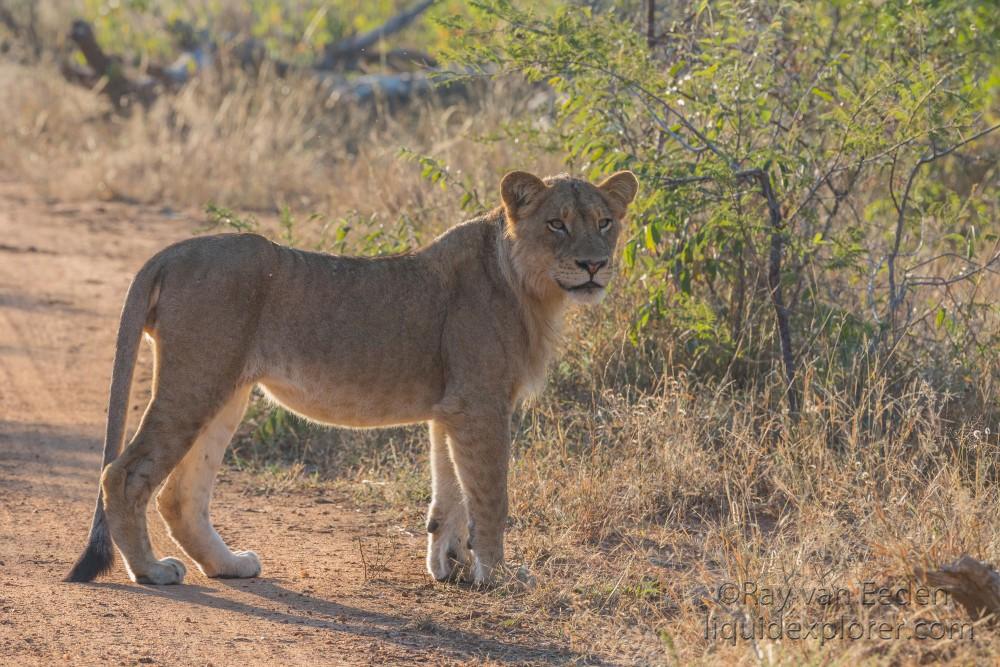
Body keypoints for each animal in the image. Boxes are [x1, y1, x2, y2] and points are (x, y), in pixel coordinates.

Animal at [64, 170, 640, 588]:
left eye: (604, 222)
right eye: (557, 224)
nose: (593, 265)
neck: (528, 285)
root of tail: (173, 251)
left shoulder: (452, 408)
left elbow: (450, 494)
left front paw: (449, 567)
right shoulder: (482, 403)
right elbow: (490, 497)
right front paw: (500, 576)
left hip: (227, 391)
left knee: (181, 495)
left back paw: (229, 564)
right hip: (196, 379)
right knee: (124, 474)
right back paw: (151, 571)